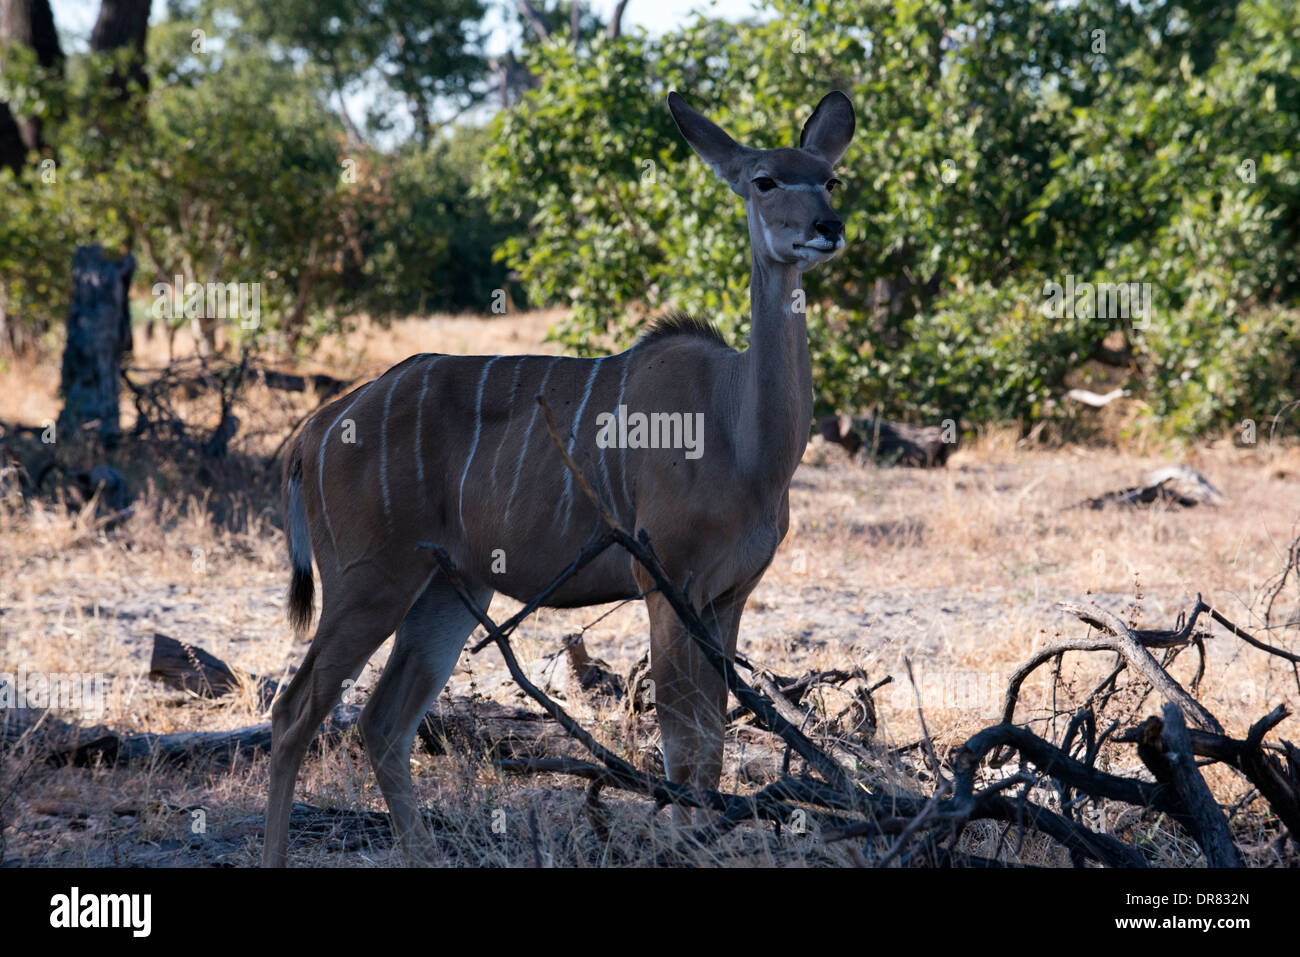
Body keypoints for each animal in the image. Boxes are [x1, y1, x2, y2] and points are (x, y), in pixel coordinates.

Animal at [263, 90, 856, 865]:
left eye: (829, 178)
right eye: (764, 179)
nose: (826, 228)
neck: (739, 426)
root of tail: (319, 425)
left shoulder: (729, 596)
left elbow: (712, 746)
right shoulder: (667, 586)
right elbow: (683, 748)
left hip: (449, 590)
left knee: (383, 721)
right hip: (369, 582)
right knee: (295, 710)